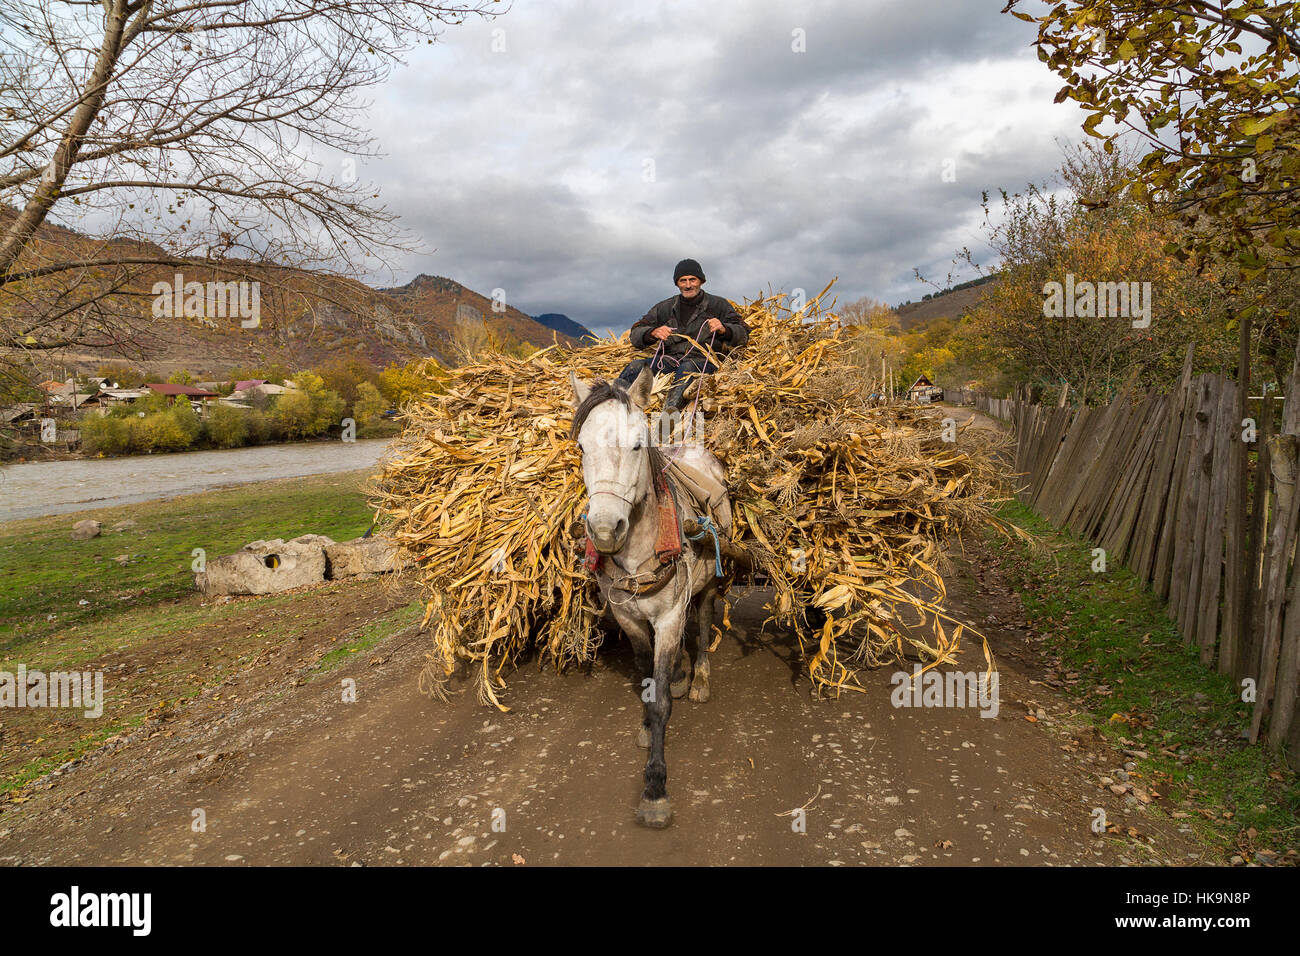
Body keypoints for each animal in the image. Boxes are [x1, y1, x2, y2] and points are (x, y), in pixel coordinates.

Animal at [569, 366, 733, 832]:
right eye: (582, 446)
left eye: (638, 444)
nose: (606, 531)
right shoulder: (628, 618)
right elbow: (646, 679)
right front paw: (646, 723)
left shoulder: (669, 616)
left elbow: (659, 700)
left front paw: (655, 788)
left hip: (706, 585)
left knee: (703, 621)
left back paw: (698, 680)